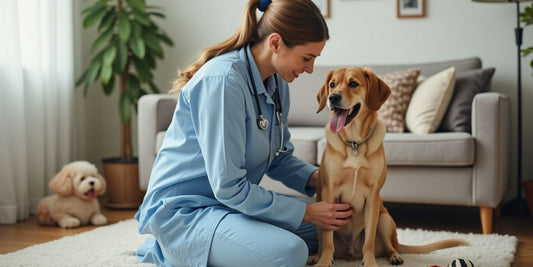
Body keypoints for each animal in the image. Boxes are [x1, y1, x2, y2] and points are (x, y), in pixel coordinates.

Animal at [308, 68, 466, 266]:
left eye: (353, 84)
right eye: (332, 84)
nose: (333, 97)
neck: (354, 143)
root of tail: (349, 254)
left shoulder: (373, 196)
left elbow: (368, 241)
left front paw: (370, 263)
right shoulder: (329, 194)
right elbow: (328, 241)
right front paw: (323, 261)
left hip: (384, 219)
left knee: (390, 246)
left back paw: (395, 256)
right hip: (319, 218)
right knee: (323, 243)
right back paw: (315, 256)